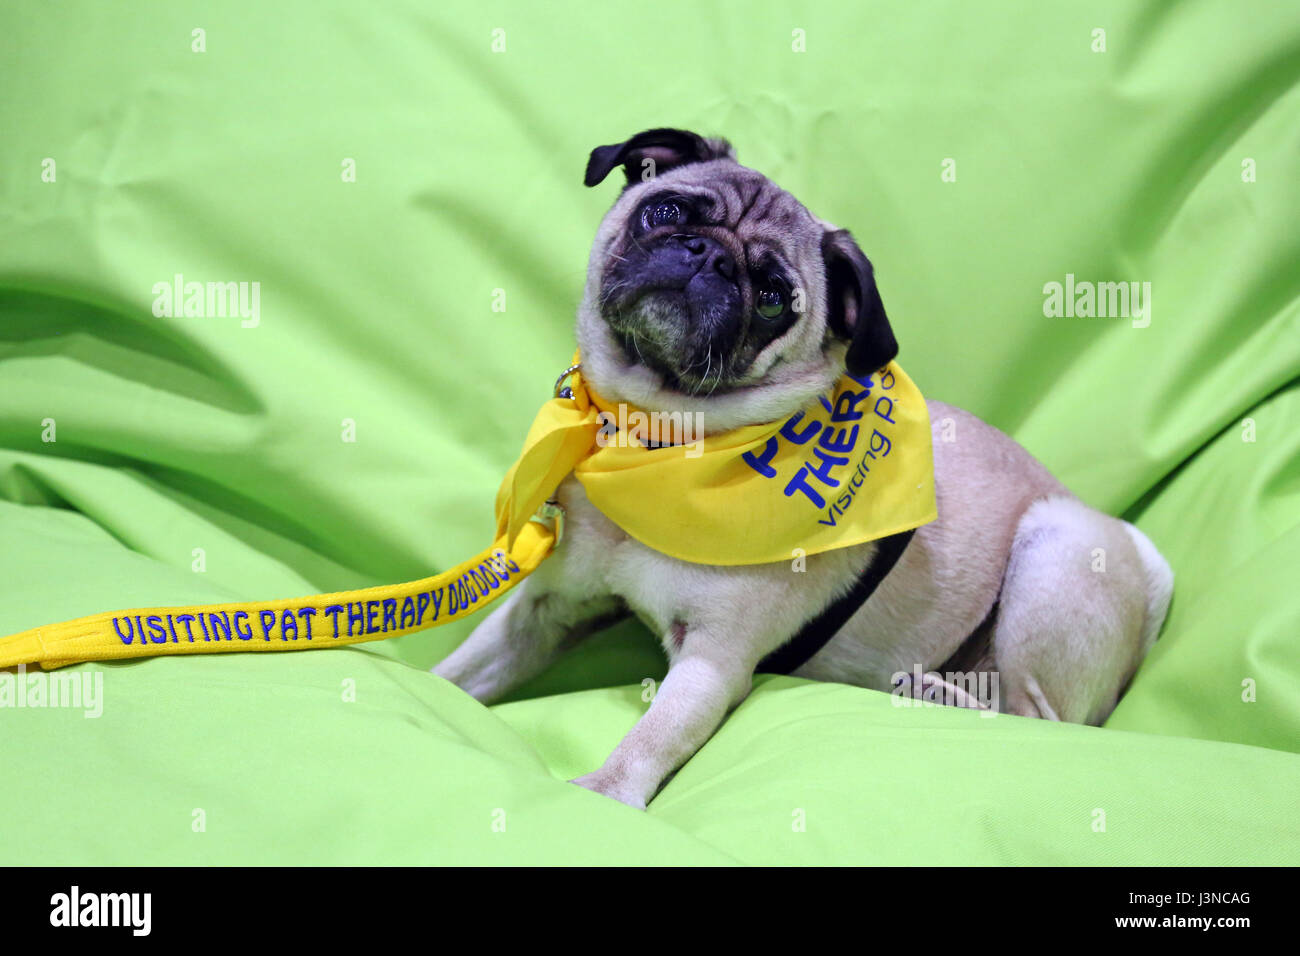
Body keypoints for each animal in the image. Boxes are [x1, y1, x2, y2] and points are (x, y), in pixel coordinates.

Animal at [436, 130, 1180, 811]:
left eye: (772, 297)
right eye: (663, 211)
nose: (706, 254)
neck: (656, 437)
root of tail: (1146, 571)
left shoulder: (713, 662)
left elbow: (649, 739)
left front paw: (602, 793)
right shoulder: (545, 612)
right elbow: (461, 670)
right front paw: (425, 689)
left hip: (1053, 552)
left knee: (1042, 720)